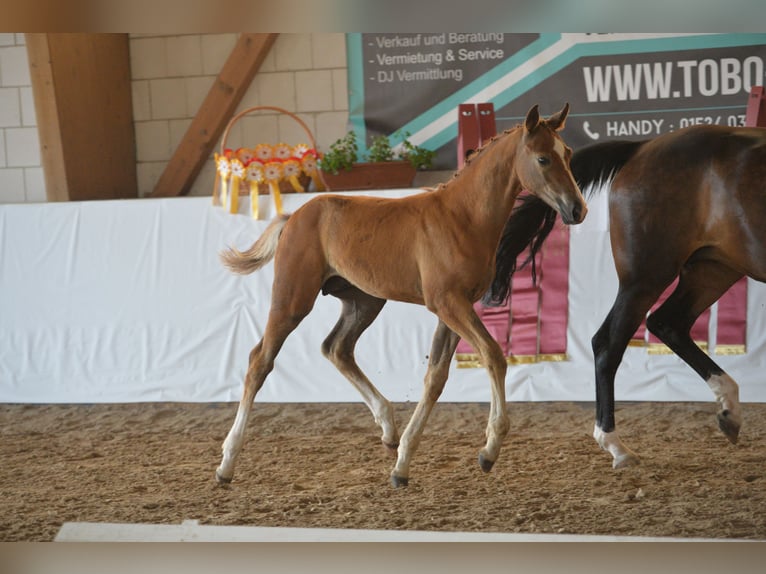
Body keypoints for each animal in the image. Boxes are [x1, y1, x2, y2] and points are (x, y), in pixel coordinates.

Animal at [213, 104, 584, 490]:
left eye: (568, 154)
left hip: (364, 301)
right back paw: (227, 463)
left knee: (337, 348)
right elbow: (493, 356)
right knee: (260, 361)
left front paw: (403, 462)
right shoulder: (447, 303)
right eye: (542, 158)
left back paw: (389, 429)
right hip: (292, 299)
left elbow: (436, 376)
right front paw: (490, 449)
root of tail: (294, 215)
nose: (577, 209)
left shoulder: (455, 308)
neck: (462, 217)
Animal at [492, 124, 766, 470]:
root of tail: (641, 149)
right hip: (646, 277)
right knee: (609, 342)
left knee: (667, 323)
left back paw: (729, 411)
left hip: (713, 269)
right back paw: (616, 445)